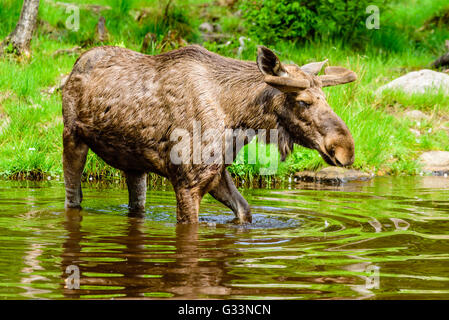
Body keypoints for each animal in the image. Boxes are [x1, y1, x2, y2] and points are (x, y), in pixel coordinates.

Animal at [63, 45, 356, 224]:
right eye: (303, 101)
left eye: (326, 97)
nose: (346, 149)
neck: (239, 118)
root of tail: (76, 64)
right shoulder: (187, 180)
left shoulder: (215, 172)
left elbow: (244, 211)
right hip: (72, 137)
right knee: (73, 196)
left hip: (134, 164)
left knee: (137, 206)